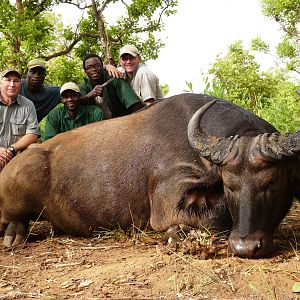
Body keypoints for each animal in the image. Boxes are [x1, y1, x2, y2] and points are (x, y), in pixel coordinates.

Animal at [0, 94, 300, 258]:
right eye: (229, 186)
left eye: (272, 183)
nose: (245, 246)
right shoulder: (169, 202)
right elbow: (213, 218)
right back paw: (13, 235)